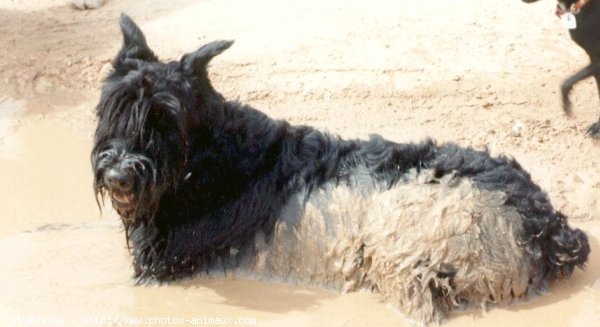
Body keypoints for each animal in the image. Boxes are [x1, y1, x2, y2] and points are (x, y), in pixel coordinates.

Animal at [92, 14, 592, 326]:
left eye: (165, 119)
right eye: (113, 108)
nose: (119, 176)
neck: (205, 158)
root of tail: (547, 224)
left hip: (399, 243)